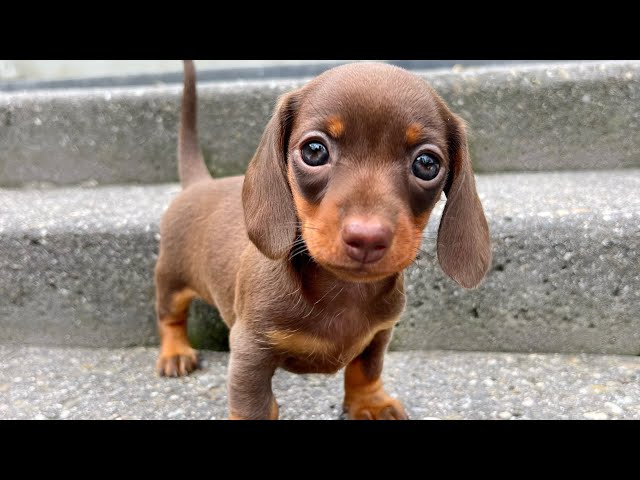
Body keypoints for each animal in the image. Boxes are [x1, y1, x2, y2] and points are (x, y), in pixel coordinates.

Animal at [154, 61, 490, 420]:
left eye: (427, 164)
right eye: (314, 151)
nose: (367, 238)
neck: (343, 290)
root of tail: (198, 183)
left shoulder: (379, 334)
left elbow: (366, 370)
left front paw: (370, 402)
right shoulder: (250, 349)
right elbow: (251, 404)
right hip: (171, 278)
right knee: (171, 317)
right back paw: (175, 352)